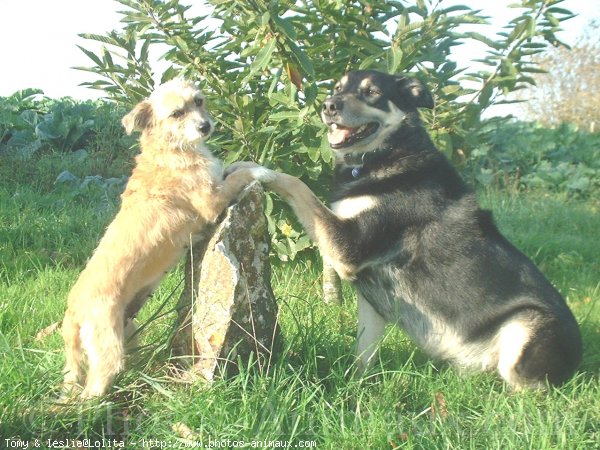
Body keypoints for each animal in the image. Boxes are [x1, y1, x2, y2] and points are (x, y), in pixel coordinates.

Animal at [60, 78, 272, 398]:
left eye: (199, 101)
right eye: (176, 114)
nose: (205, 126)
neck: (171, 147)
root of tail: (73, 311)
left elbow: (231, 171)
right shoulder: (211, 201)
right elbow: (238, 175)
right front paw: (258, 169)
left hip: (129, 330)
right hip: (108, 348)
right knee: (94, 388)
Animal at [232, 68, 584, 388]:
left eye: (372, 92)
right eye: (338, 87)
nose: (328, 105)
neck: (384, 154)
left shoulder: (348, 245)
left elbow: (297, 184)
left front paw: (254, 169)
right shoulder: (368, 292)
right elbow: (364, 352)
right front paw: (357, 387)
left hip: (526, 328)